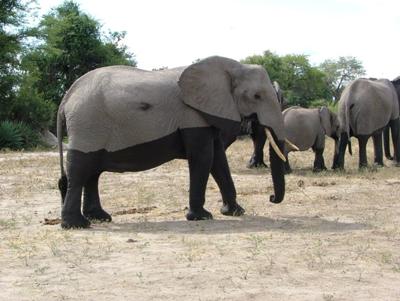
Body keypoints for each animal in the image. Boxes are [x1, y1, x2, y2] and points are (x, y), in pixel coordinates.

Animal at [57, 55, 288, 227]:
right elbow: (204, 158)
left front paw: (235, 212)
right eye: (257, 96)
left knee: (92, 172)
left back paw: (100, 218)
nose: (271, 198)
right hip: (88, 124)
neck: (230, 67)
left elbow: (218, 160)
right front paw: (201, 217)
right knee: (80, 170)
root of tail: (66, 98)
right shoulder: (192, 116)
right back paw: (78, 225)